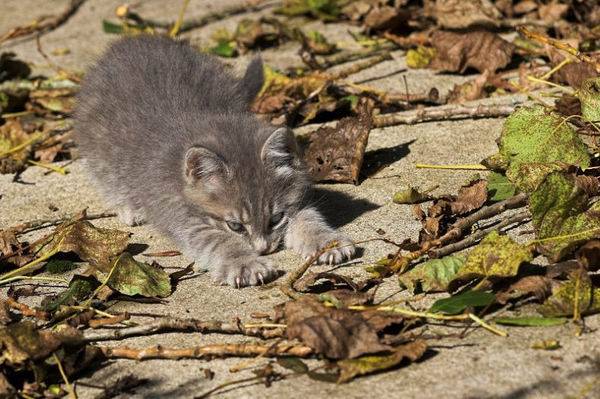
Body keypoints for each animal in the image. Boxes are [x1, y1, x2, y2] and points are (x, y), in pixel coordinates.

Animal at [75, 36, 356, 288]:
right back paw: (130, 207)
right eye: (235, 226)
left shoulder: (296, 201)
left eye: (276, 218)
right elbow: (218, 241)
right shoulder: (181, 217)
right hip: (98, 150)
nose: (263, 249)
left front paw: (326, 242)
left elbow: (308, 217)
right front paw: (246, 263)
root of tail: (130, 42)